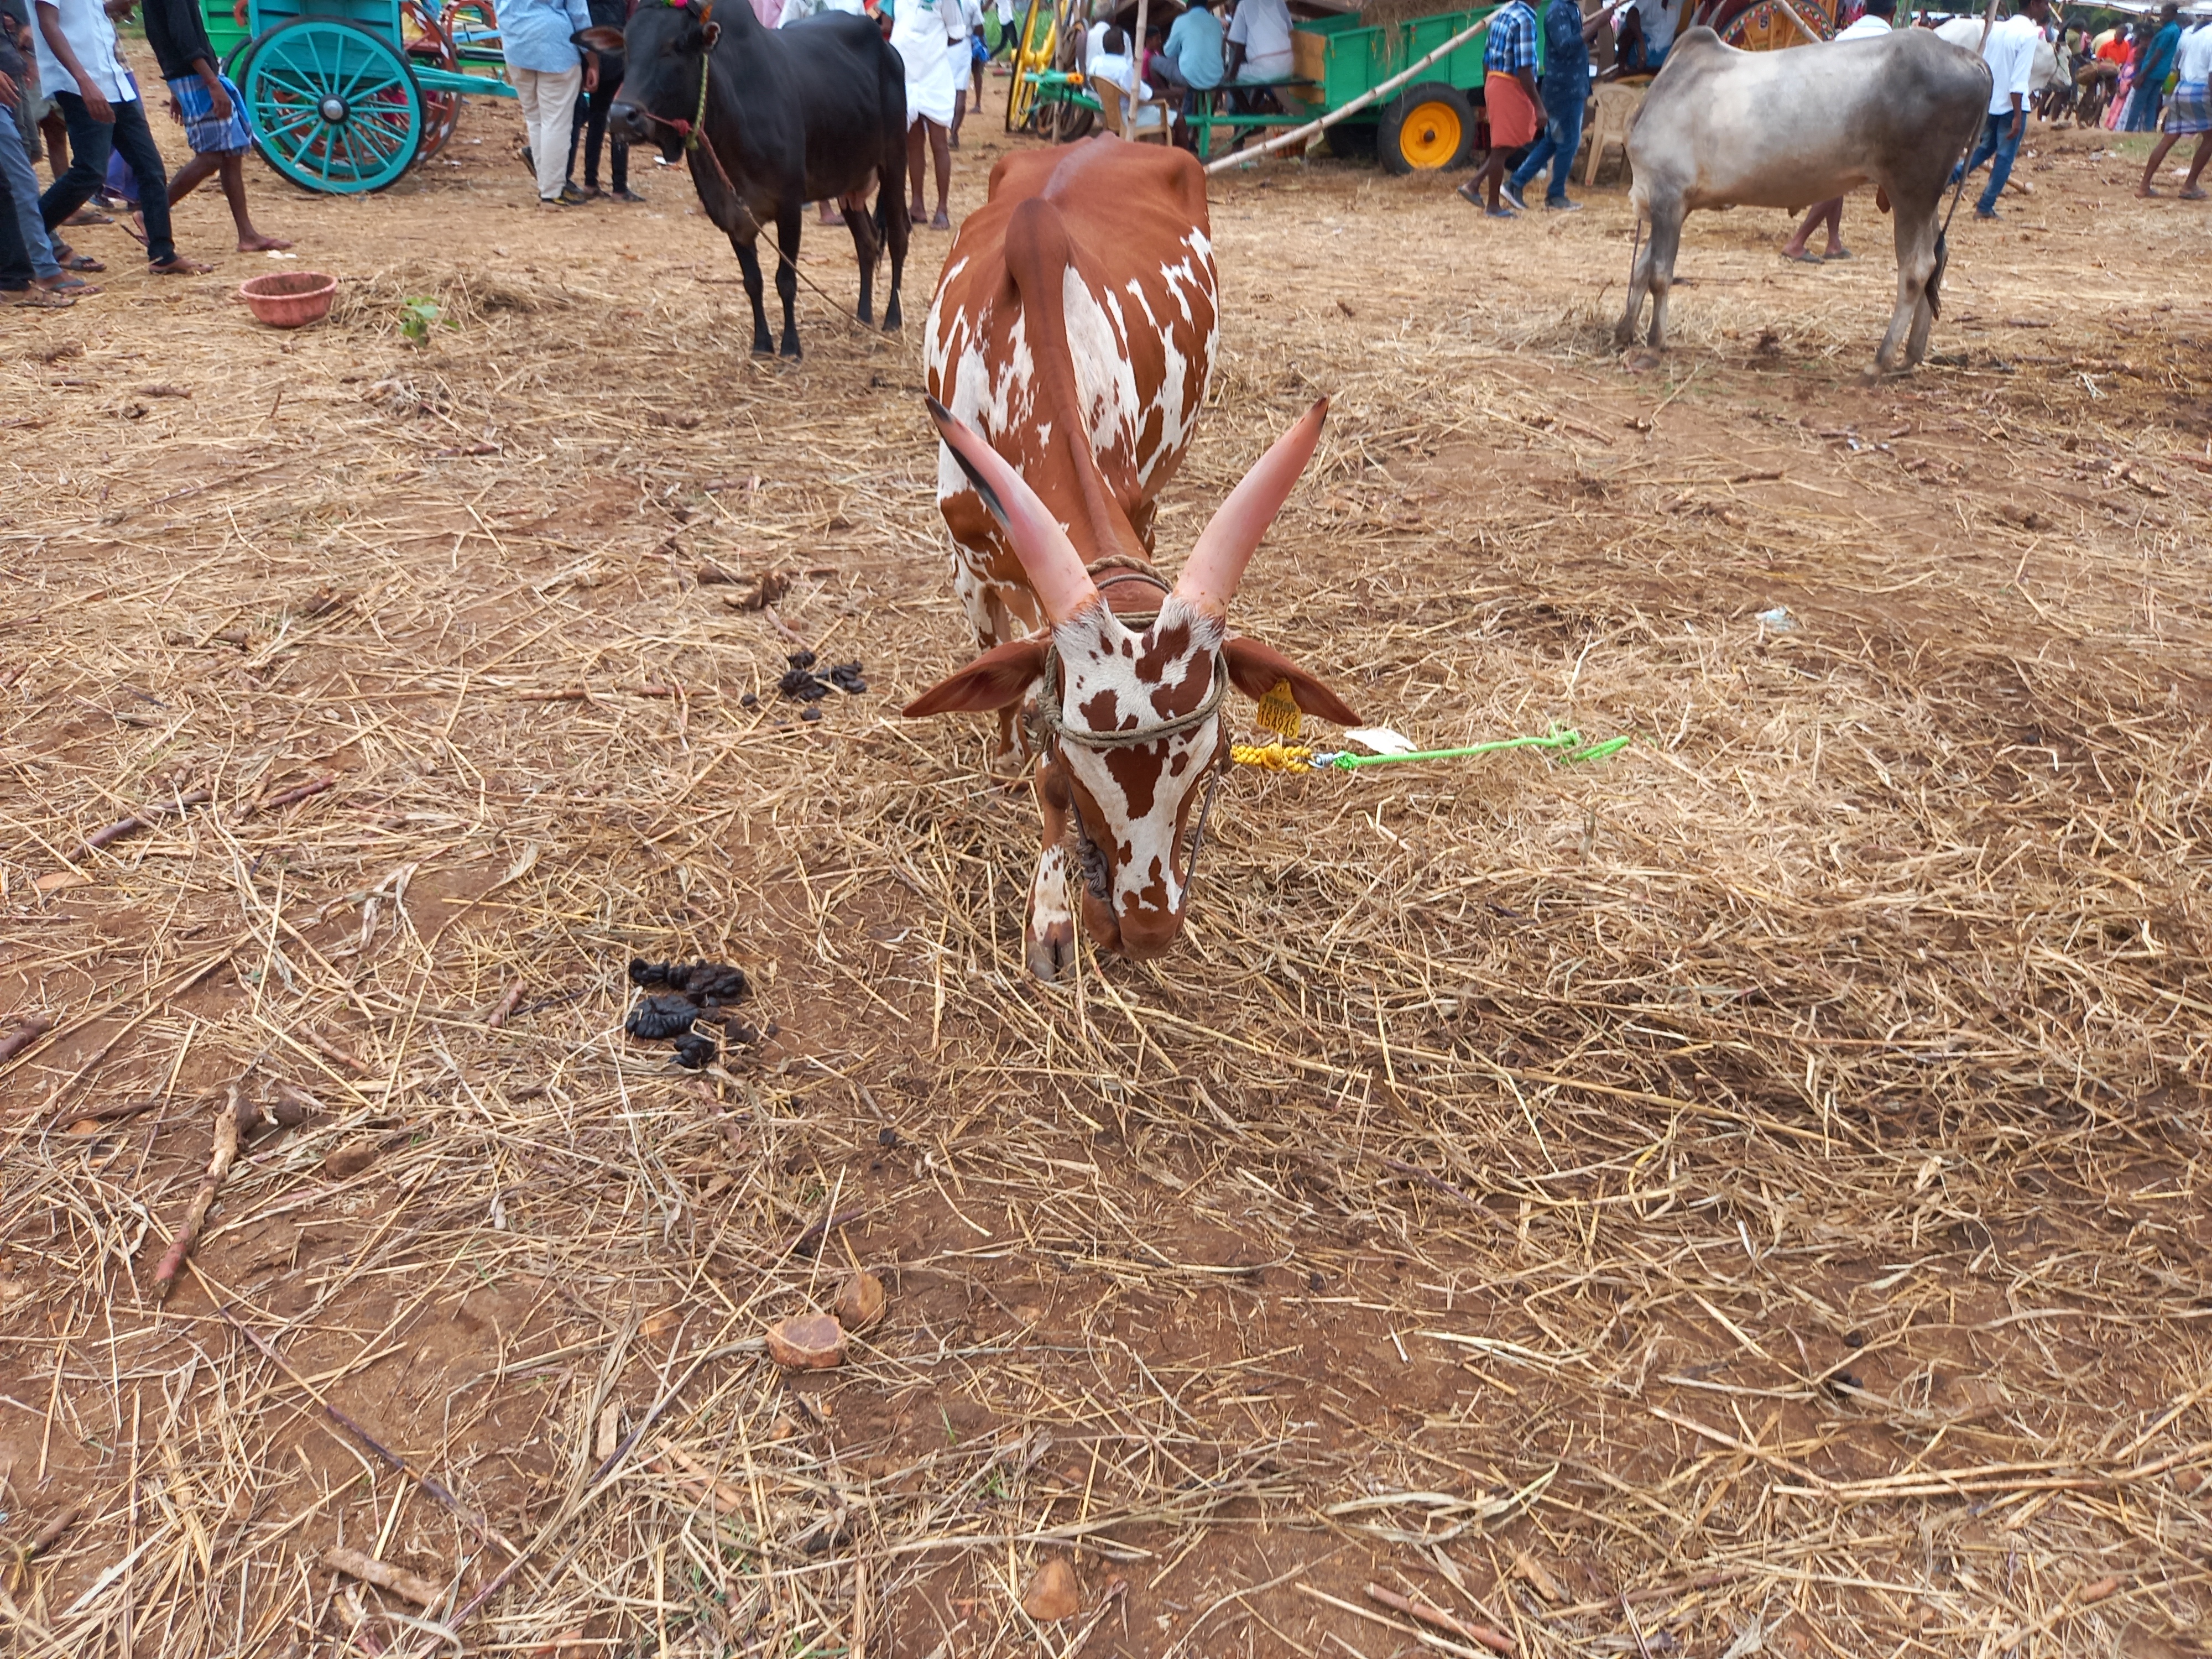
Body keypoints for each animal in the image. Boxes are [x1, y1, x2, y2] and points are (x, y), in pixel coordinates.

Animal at [585, 2, 908, 358]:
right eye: (627, 48)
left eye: (677, 46)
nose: (620, 117)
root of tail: (888, 49)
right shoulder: (731, 213)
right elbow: (753, 282)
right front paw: (762, 345)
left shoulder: (789, 207)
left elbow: (786, 281)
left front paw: (790, 348)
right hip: (848, 183)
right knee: (866, 243)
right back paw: (863, 317)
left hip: (894, 163)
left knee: (897, 239)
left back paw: (892, 318)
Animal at [903, 139, 1362, 982]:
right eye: (1075, 773)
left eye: (1211, 765)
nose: (1147, 930)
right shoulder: (964, 548)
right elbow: (1008, 685)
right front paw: (1049, 901)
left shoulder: (1138, 506)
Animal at [1614, 26, 1989, 373]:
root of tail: (1966, 57)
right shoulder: (1669, 204)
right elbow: (1641, 269)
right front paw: (1624, 332)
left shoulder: (1668, 195)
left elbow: (1658, 275)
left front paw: (1652, 347)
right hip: (1925, 197)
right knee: (1937, 260)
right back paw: (1911, 356)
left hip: (1911, 190)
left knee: (1917, 269)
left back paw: (1880, 362)